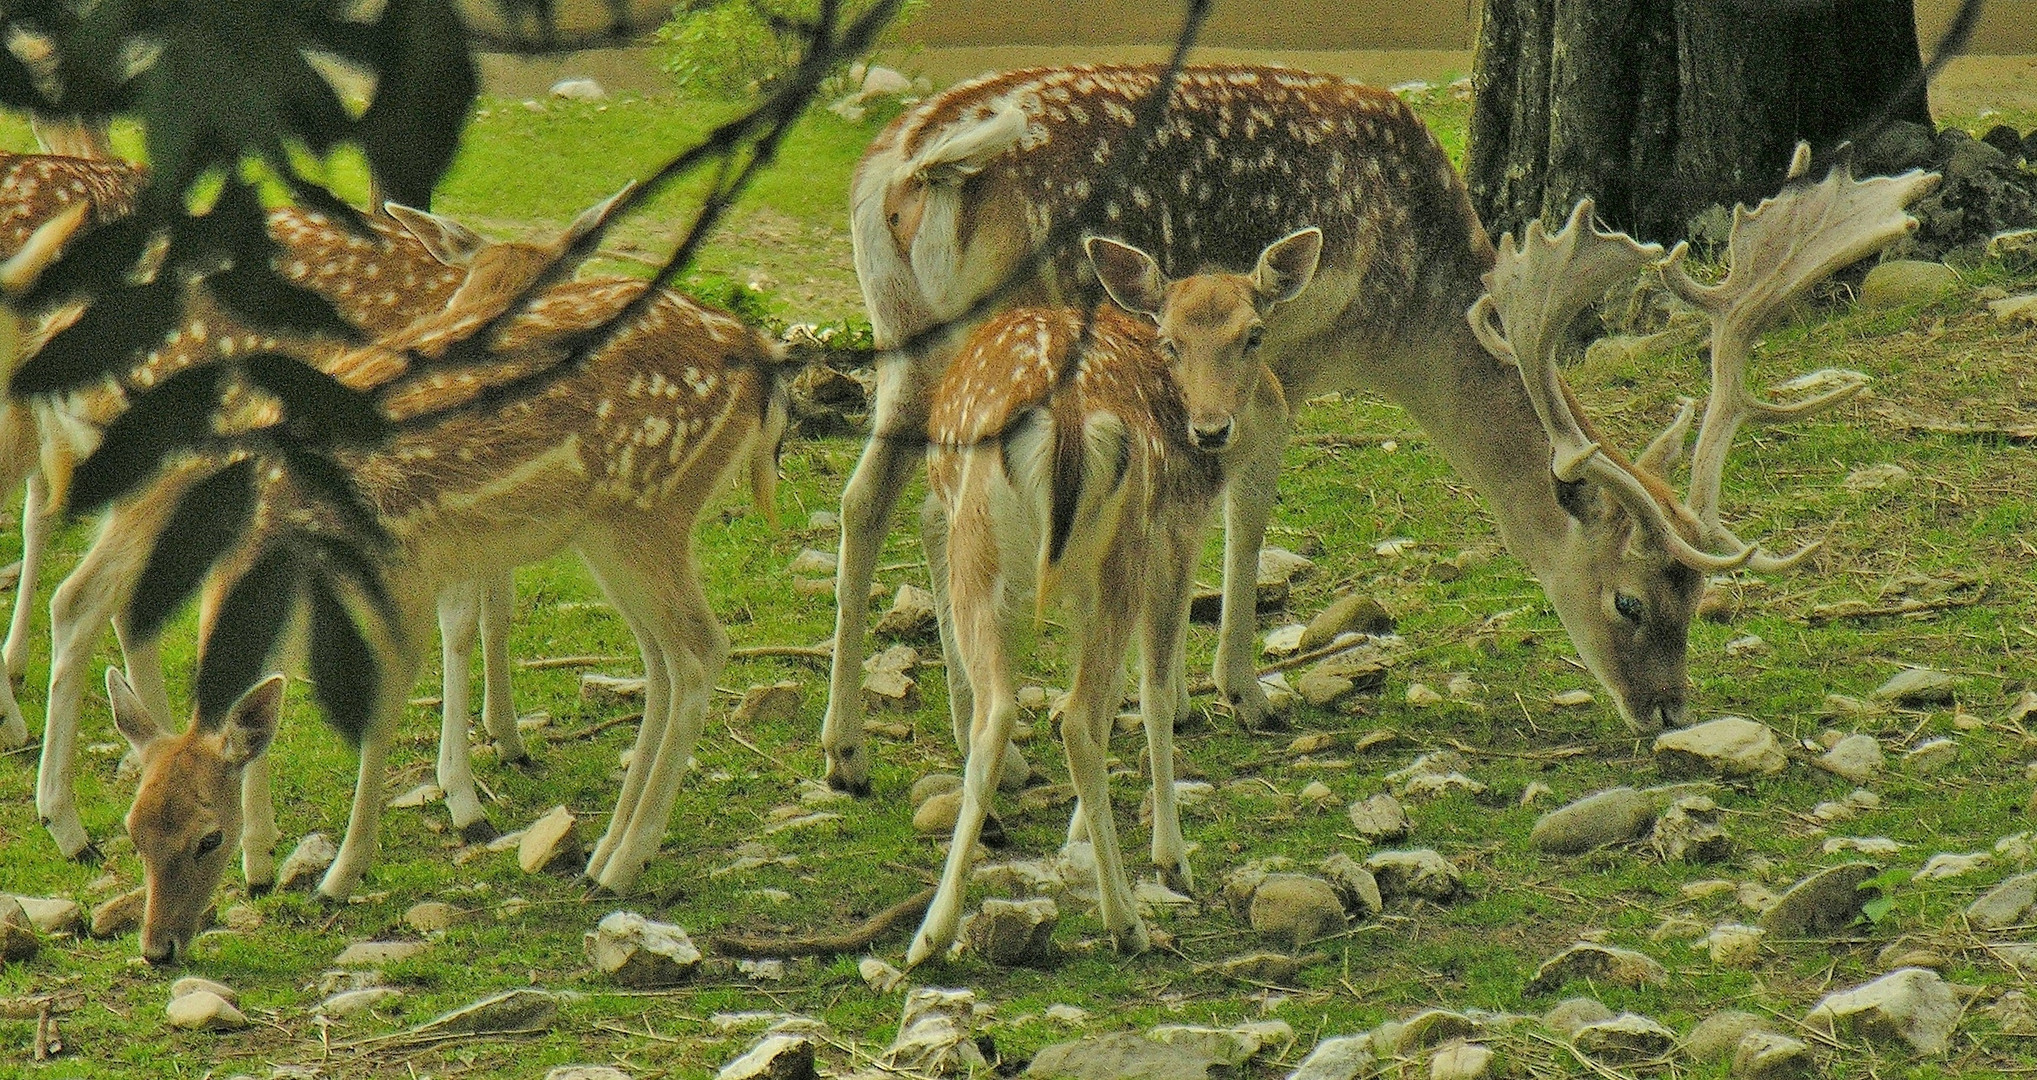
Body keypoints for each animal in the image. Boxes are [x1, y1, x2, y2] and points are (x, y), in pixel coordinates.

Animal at [103, 199, 790, 957]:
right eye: (134, 831)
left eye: (206, 838)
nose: (158, 947)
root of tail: (763, 363)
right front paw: (262, 864)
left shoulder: (402, 561)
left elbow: (379, 707)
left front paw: (339, 875)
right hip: (611, 531)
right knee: (662, 660)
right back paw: (606, 852)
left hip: (649, 508)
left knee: (701, 650)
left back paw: (624, 863)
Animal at [827, 63, 1939, 786]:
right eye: (1628, 600)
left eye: (1699, 598)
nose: (1670, 711)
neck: (1404, 318)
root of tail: (913, 167)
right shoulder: (1277, 358)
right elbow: (1245, 506)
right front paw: (1234, 693)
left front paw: (1182, 692)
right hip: (1023, 335)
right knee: (933, 508)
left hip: (902, 332)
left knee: (873, 499)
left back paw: (857, 751)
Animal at [908, 225, 1319, 957]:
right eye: (1170, 341)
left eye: (1253, 334)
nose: (1211, 429)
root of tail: (1068, 418)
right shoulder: (1172, 532)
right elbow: (1151, 689)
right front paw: (1169, 856)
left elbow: (1118, 692)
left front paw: (1078, 833)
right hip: (1120, 547)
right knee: (1074, 715)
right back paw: (1126, 919)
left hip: (979, 552)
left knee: (1003, 712)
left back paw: (932, 932)